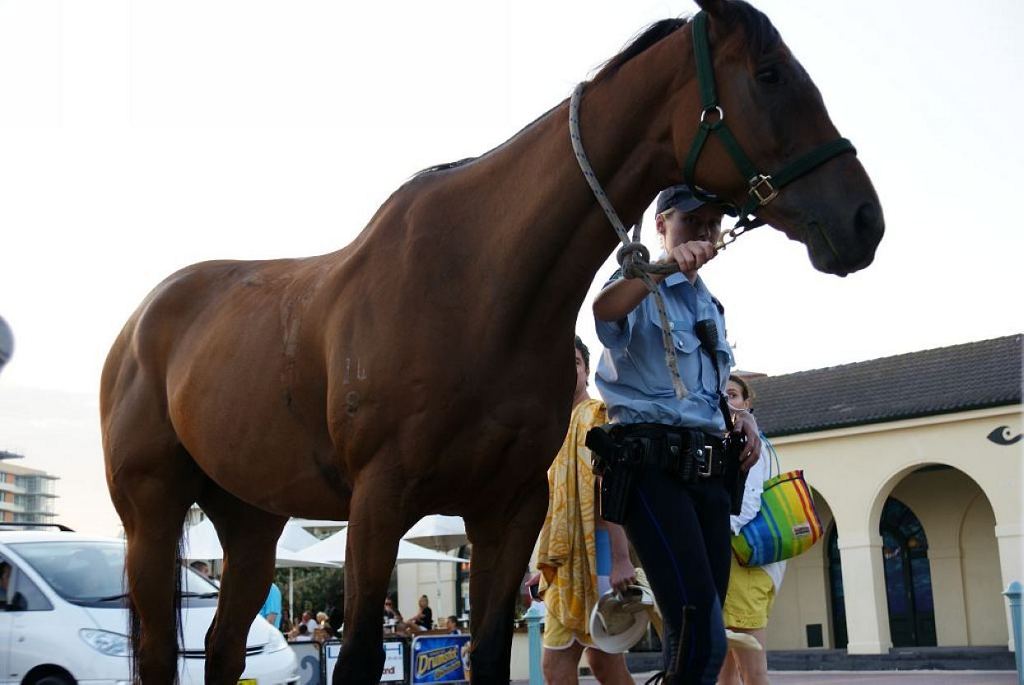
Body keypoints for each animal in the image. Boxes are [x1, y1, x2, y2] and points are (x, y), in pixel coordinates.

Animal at [103, 2, 884, 679]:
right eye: (770, 74)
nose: (864, 220)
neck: (479, 283)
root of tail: (140, 324)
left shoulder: (506, 510)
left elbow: (483, 652)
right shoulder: (378, 501)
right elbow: (358, 658)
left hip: (251, 519)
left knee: (223, 646)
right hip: (151, 514)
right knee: (161, 652)